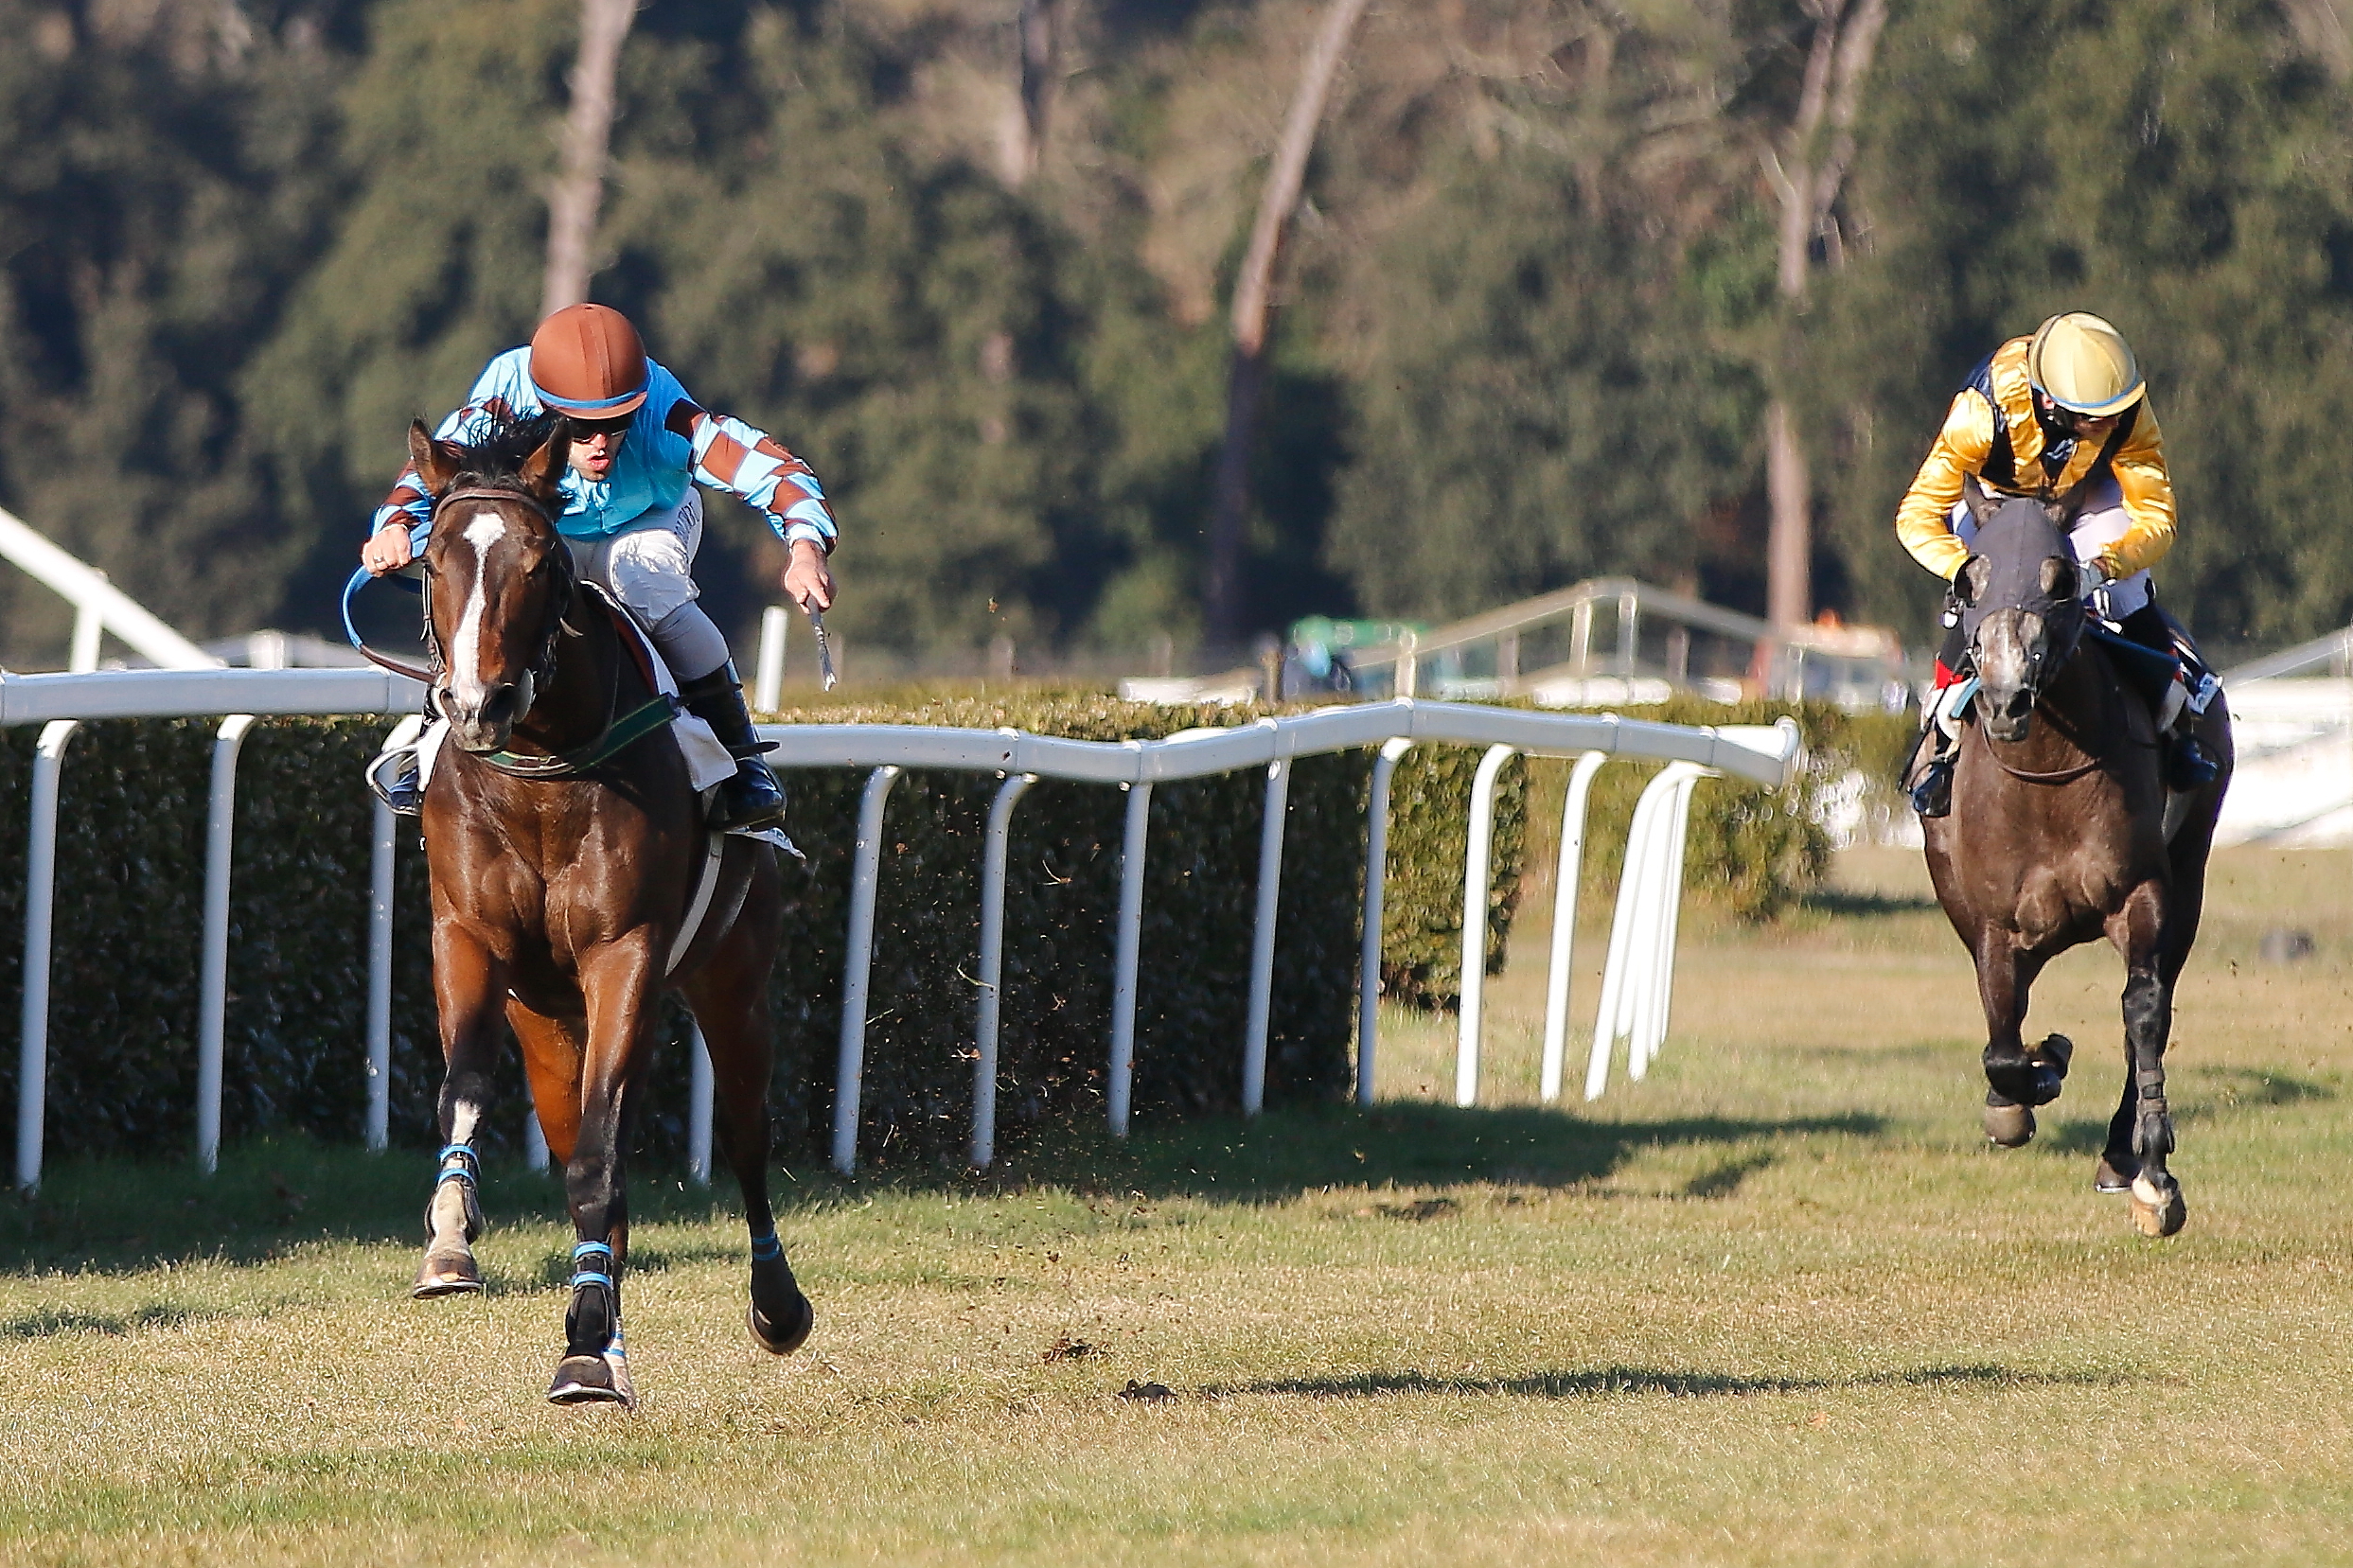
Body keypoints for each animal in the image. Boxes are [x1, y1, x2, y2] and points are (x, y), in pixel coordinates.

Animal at [399, 411, 814, 1401]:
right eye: (433, 559)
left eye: (542, 561)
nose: (478, 703)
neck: (542, 774)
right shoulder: (467, 937)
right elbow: (464, 1091)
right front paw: (451, 1238)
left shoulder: (625, 953)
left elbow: (602, 1156)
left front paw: (585, 1341)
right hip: (550, 1022)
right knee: (586, 1143)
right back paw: (603, 1335)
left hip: (733, 983)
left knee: (743, 1136)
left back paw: (771, 1306)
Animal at [1920, 491, 2230, 1241]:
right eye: (1969, 583)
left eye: (2061, 583)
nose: (2005, 699)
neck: (2046, 776)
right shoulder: (1995, 926)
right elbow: (2004, 1050)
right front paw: (2039, 1071)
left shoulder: (2142, 892)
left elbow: (2143, 1014)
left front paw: (2153, 1178)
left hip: (2191, 873)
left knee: (2153, 1004)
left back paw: (2121, 1150)